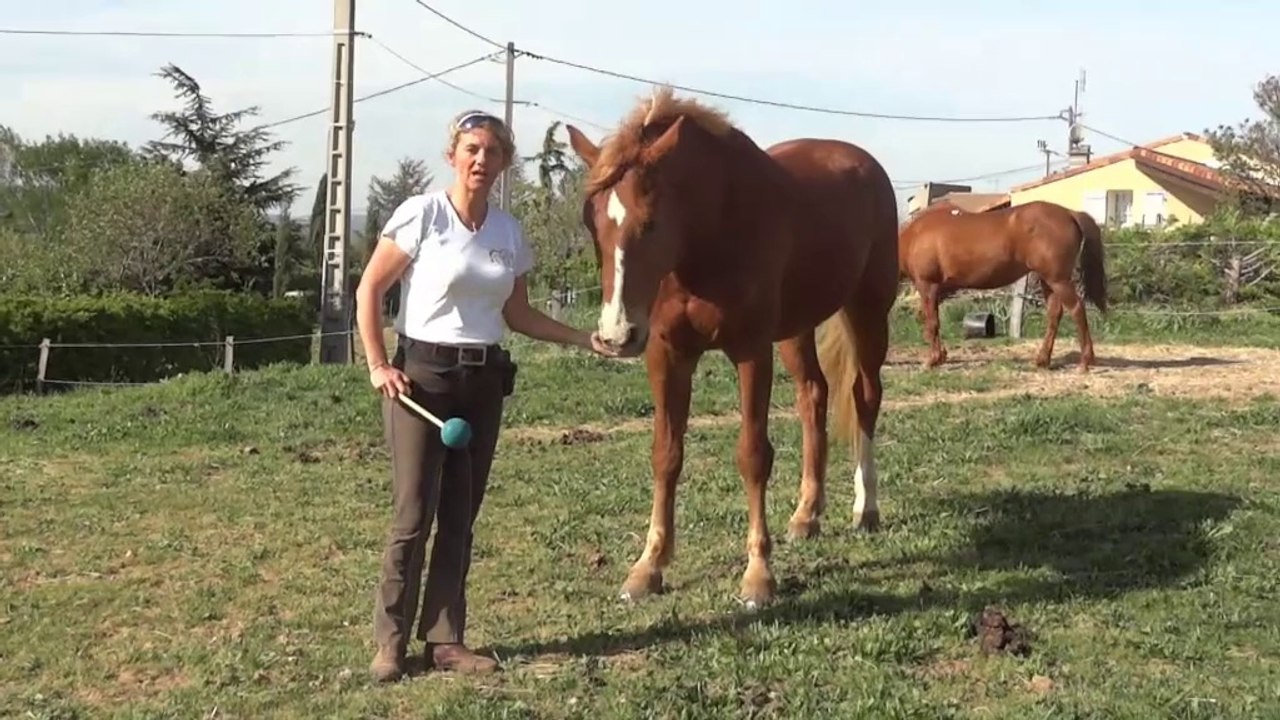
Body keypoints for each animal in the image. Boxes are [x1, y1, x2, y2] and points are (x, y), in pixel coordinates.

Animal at [563, 86, 900, 608]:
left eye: (651, 222)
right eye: (592, 222)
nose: (616, 335)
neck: (710, 235)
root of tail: (865, 164)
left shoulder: (750, 351)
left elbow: (753, 455)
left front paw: (758, 575)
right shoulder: (668, 354)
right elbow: (666, 454)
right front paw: (648, 566)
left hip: (867, 310)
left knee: (865, 397)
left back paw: (866, 508)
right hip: (796, 329)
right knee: (814, 396)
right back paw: (807, 514)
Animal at [898, 199, 1109, 372]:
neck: (915, 235)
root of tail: (1070, 213)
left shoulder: (928, 286)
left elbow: (932, 323)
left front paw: (932, 360)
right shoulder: (939, 291)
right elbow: (932, 321)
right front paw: (940, 356)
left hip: (1059, 280)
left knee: (1077, 309)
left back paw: (1084, 362)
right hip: (1049, 281)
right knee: (1054, 314)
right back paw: (1043, 360)